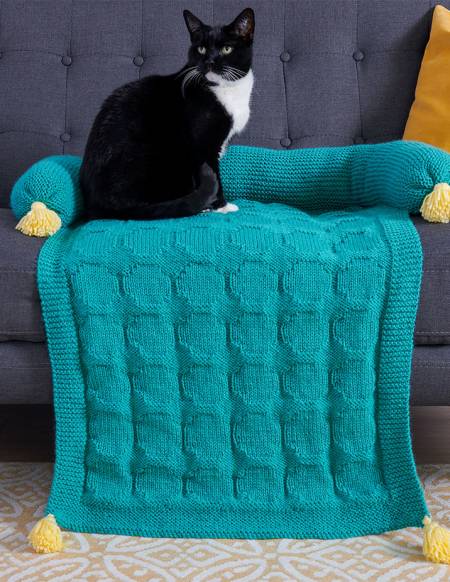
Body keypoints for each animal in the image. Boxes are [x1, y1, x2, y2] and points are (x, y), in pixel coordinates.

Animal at [79, 8, 255, 220]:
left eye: (226, 49)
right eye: (201, 49)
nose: (209, 61)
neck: (226, 89)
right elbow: (215, 175)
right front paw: (222, 206)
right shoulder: (204, 144)